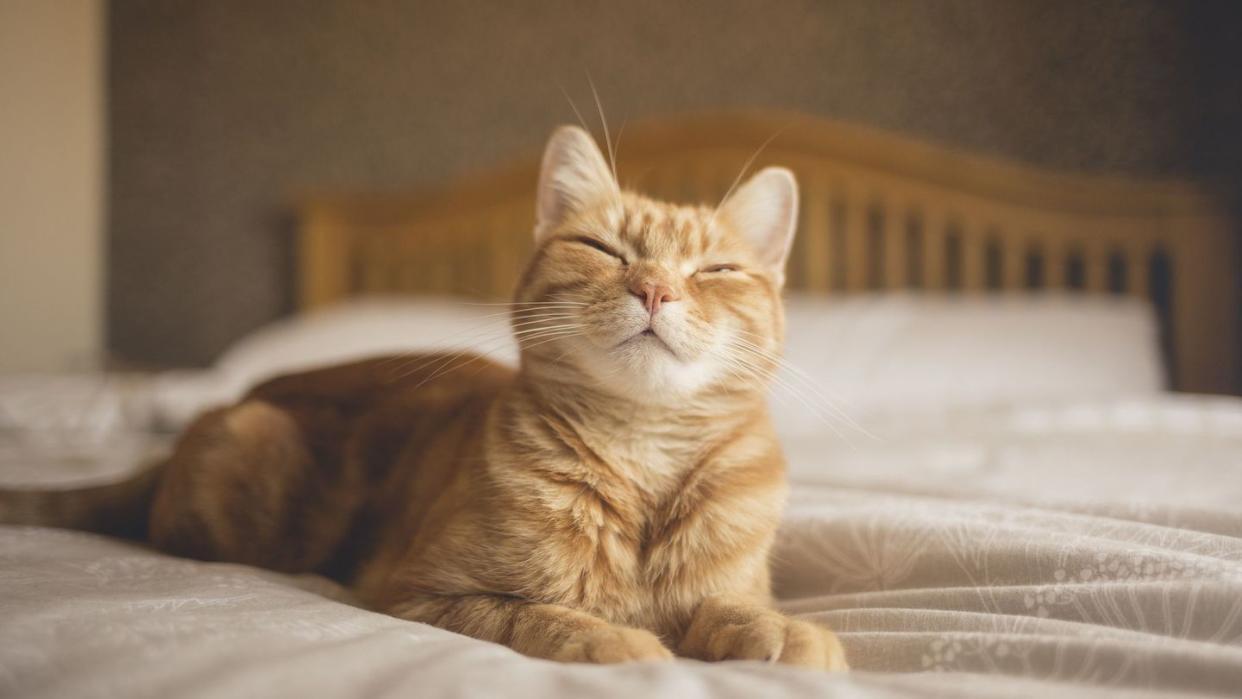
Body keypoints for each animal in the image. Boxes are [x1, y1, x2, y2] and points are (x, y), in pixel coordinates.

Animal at [0, 128, 844, 670]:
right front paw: (623, 642)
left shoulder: (724, 586)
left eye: (716, 271)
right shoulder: (423, 590)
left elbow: (734, 607)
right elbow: (543, 614)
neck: (643, 460)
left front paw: (782, 631)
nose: (656, 287)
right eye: (602, 249)